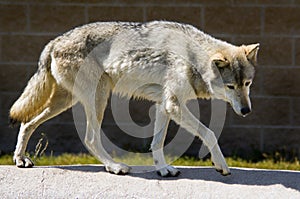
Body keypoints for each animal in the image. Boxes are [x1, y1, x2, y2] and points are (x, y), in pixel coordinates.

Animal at [8, 21, 258, 176]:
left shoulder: (164, 106)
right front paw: (221, 165)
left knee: (27, 122)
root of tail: (55, 41)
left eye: (247, 84)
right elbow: (210, 133)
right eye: (230, 86)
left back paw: (20, 159)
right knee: (90, 139)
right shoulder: (174, 105)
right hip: (98, 98)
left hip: (64, 102)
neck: (193, 59)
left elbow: (157, 143)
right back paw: (115, 167)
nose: (246, 111)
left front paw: (163, 170)